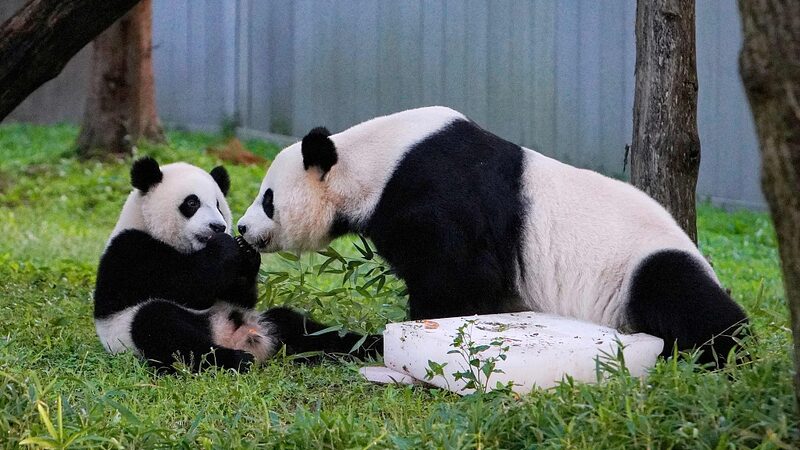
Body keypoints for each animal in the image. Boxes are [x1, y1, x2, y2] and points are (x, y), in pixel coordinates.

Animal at [94, 157, 380, 372]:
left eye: (219, 205)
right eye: (192, 202)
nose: (217, 226)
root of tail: (235, 337)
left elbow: (239, 295)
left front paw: (247, 252)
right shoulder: (133, 251)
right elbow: (187, 286)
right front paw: (227, 247)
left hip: (264, 321)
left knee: (304, 330)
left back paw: (371, 345)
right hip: (129, 331)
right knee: (161, 326)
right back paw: (235, 360)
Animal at [237, 106, 749, 367]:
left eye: (267, 199)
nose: (242, 229)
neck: (374, 160)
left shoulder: (436, 192)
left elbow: (459, 281)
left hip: (641, 263)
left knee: (683, 296)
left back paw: (719, 354)